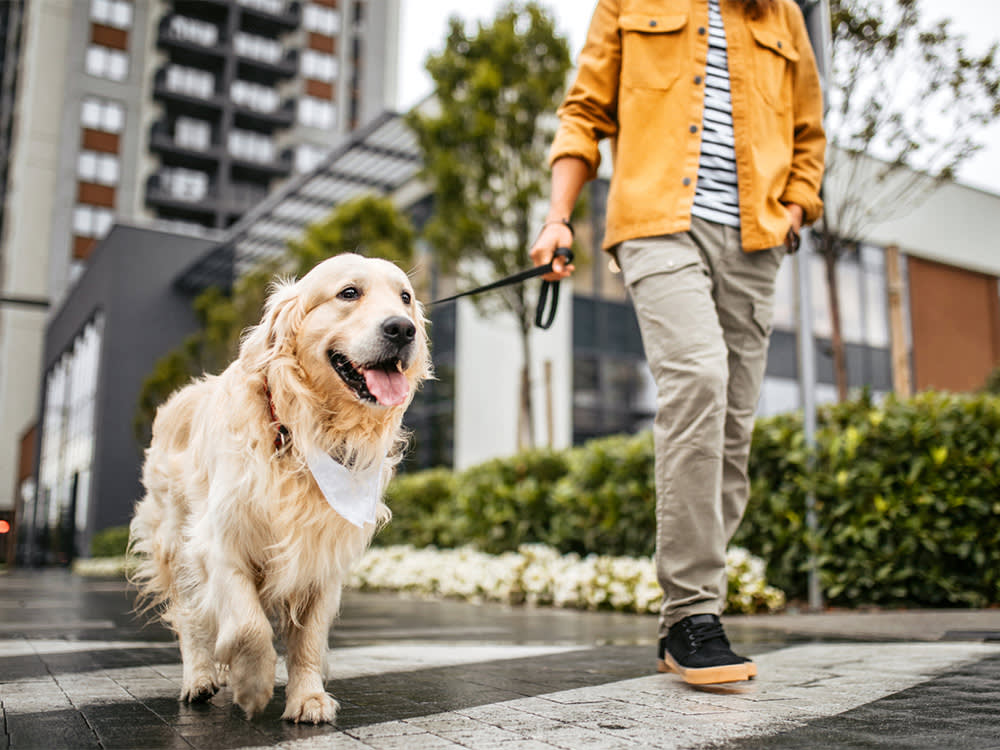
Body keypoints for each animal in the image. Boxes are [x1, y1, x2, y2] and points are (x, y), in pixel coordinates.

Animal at [128, 256, 430, 724]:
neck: (303, 433)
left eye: (405, 298)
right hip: (175, 542)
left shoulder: (322, 555)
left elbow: (307, 638)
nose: (403, 329)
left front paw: (308, 696)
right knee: (190, 617)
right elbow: (248, 624)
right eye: (349, 293)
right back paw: (199, 677)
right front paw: (252, 683)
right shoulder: (218, 541)